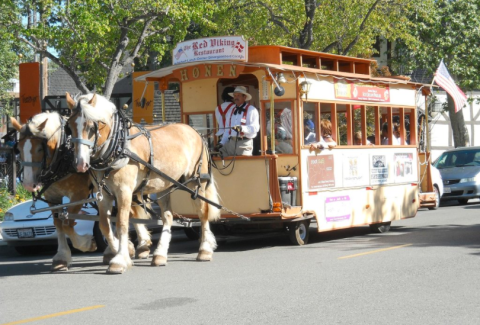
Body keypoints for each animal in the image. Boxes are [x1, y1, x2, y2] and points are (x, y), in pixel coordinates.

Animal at [10, 112, 152, 270]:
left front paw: (87, 244)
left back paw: (136, 246)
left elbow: (67, 224)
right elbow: (58, 224)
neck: (62, 154)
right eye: (18, 149)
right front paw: (61, 257)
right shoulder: (52, 197)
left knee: (129, 213)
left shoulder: (79, 194)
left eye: (40, 149)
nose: (29, 184)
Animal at [66, 92, 221, 274]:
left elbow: (122, 223)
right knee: (167, 216)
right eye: (69, 126)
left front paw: (120, 259)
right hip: (163, 184)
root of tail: (196, 132)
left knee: (203, 212)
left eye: (91, 127)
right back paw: (160, 254)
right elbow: (105, 225)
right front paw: (120, 252)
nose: (80, 164)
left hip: (196, 182)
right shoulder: (103, 195)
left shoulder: (124, 192)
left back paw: (204, 250)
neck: (118, 146)